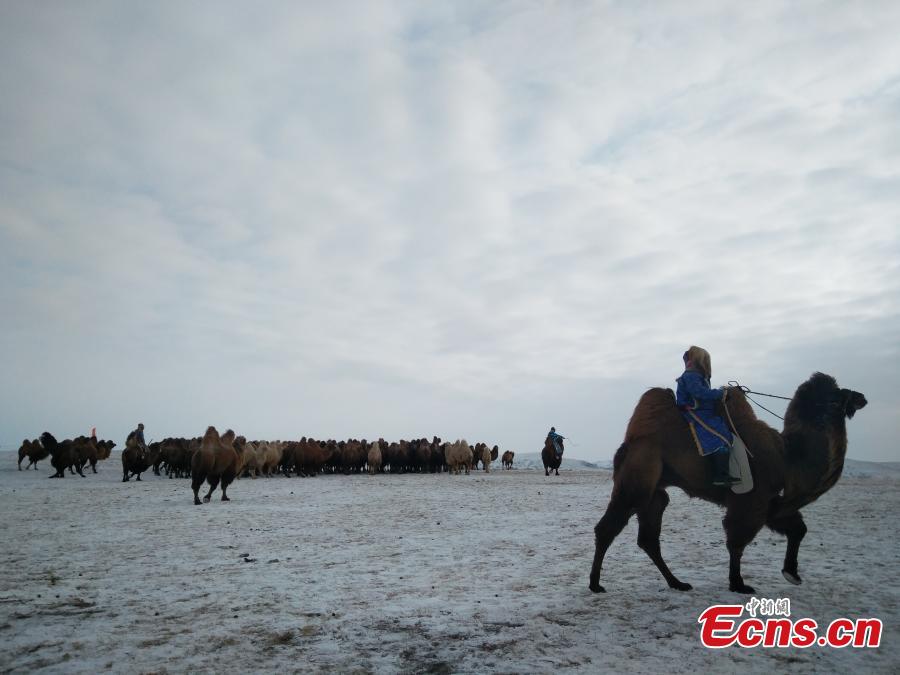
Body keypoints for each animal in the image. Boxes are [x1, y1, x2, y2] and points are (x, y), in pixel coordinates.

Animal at [592, 372, 864, 596]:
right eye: (835, 397)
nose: (860, 396)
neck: (788, 457)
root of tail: (629, 443)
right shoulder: (752, 499)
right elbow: (737, 541)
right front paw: (738, 584)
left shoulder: (772, 503)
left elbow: (798, 529)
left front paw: (792, 574)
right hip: (637, 479)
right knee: (608, 528)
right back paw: (595, 584)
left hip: (655, 494)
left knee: (648, 538)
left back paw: (677, 583)